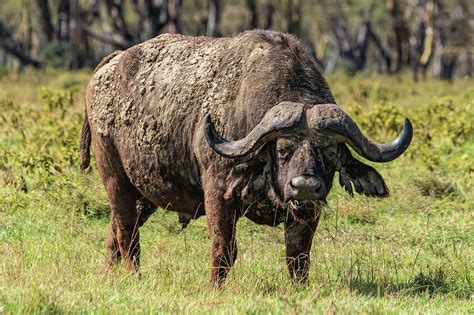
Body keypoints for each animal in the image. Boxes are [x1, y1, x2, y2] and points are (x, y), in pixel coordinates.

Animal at [79, 30, 412, 288]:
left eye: (329, 152)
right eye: (282, 150)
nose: (304, 186)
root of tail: (109, 65)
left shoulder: (309, 211)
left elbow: (298, 256)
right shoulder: (217, 194)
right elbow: (224, 249)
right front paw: (215, 288)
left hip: (145, 191)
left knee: (115, 230)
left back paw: (108, 273)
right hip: (114, 177)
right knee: (127, 232)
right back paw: (132, 276)